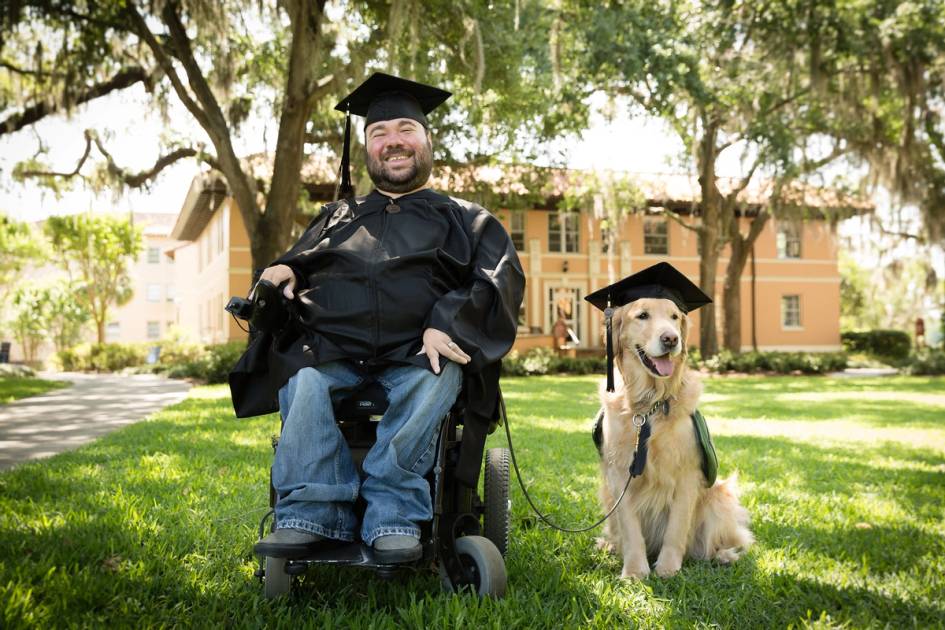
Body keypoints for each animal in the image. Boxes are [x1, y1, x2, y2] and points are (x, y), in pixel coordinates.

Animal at [596, 298, 752, 580]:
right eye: (642, 316)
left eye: (675, 317)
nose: (671, 339)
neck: (649, 405)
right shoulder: (618, 475)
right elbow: (630, 530)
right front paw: (634, 571)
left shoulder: (687, 474)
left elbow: (676, 528)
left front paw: (668, 569)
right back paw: (609, 545)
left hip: (718, 499)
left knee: (727, 542)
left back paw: (724, 556)